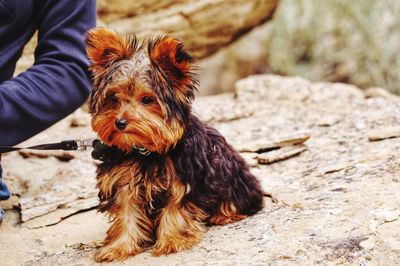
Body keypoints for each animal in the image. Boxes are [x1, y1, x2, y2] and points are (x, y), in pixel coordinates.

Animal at [86, 27, 264, 262]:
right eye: (114, 98)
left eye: (147, 100)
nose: (120, 122)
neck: (145, 151)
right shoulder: (123, 181)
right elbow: (127, 214)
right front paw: (119, 246)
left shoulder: (183, 179)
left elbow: (175, 209)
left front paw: (172, 240)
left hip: (232, 175)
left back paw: (224, 215)